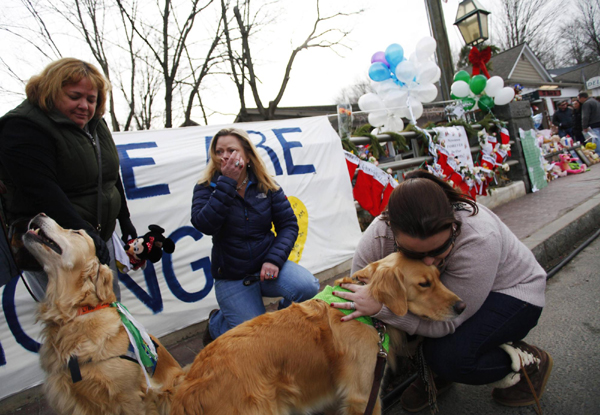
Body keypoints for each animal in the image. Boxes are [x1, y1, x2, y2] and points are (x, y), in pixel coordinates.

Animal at [170, 252, 464, 414]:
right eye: (424, 284)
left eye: (439, 276)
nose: (462, 306)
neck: (368, 313)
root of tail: (188, 384)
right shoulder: (362, 395)